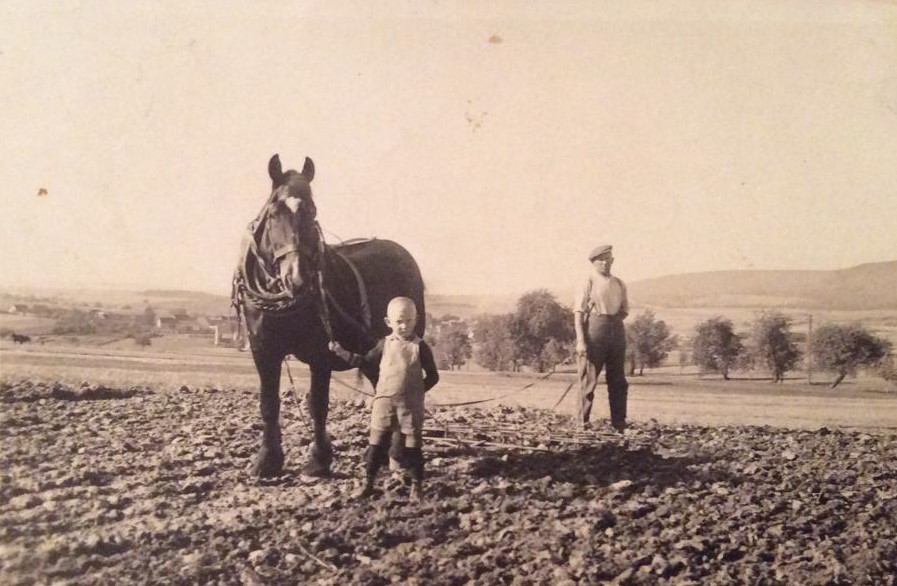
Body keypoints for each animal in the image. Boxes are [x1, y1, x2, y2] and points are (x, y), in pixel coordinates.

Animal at [233, 154, 426, 478]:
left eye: (312, 213)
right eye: (274, 213)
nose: (297, 278)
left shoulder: (320, 354)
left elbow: (318, 404)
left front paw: (319, 459)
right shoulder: (263, 350)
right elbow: (269, 403)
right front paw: (267, 460)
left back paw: (396, 453)